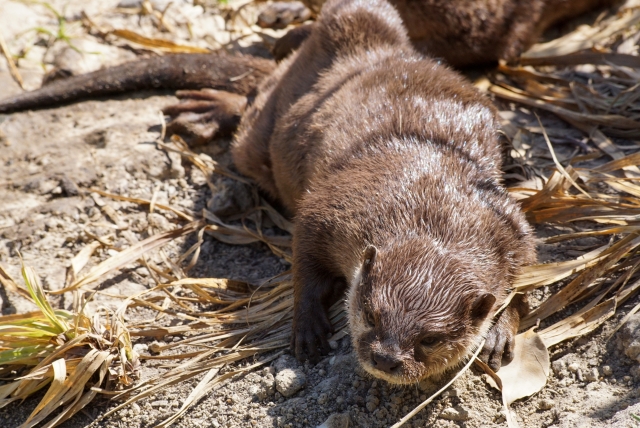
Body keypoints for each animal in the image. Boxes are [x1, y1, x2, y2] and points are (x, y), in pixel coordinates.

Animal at [232, 0, 536, 382]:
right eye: (371, 314)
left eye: (431, 338)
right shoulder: (331, 208)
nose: (385, 358)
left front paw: (500, 332)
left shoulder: (512, 233)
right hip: (259, 136)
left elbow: (526, 282)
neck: (434, 214)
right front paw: (307, 326)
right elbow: (304, 261)